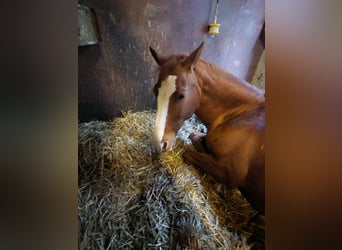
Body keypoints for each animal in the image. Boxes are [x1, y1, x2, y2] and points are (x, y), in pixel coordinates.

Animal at [149, 42, 264, 214]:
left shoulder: (228, 172)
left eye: (181, 95)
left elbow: (187, 153)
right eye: (155, 90)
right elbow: (194, 136)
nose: (159, 144)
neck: (244, 113)